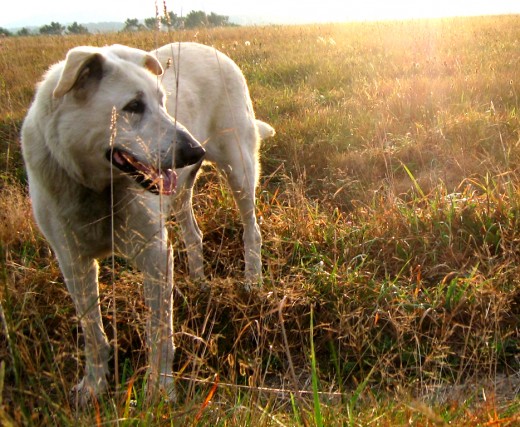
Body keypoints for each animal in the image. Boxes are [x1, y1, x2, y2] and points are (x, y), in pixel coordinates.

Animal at [20, 42, 272, 404]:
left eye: (162, 102)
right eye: (134, 107)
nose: (194, 150)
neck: (98, 187)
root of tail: (212, 48)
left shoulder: (155, 254)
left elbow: (160, 333)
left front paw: (160, 391)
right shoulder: (72, 262)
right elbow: (92, 333)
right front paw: (94, 385)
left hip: (239, 170)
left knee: (252, 231)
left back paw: (253, 282)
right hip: (181, 192)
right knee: (194, 235)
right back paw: (198, 283)